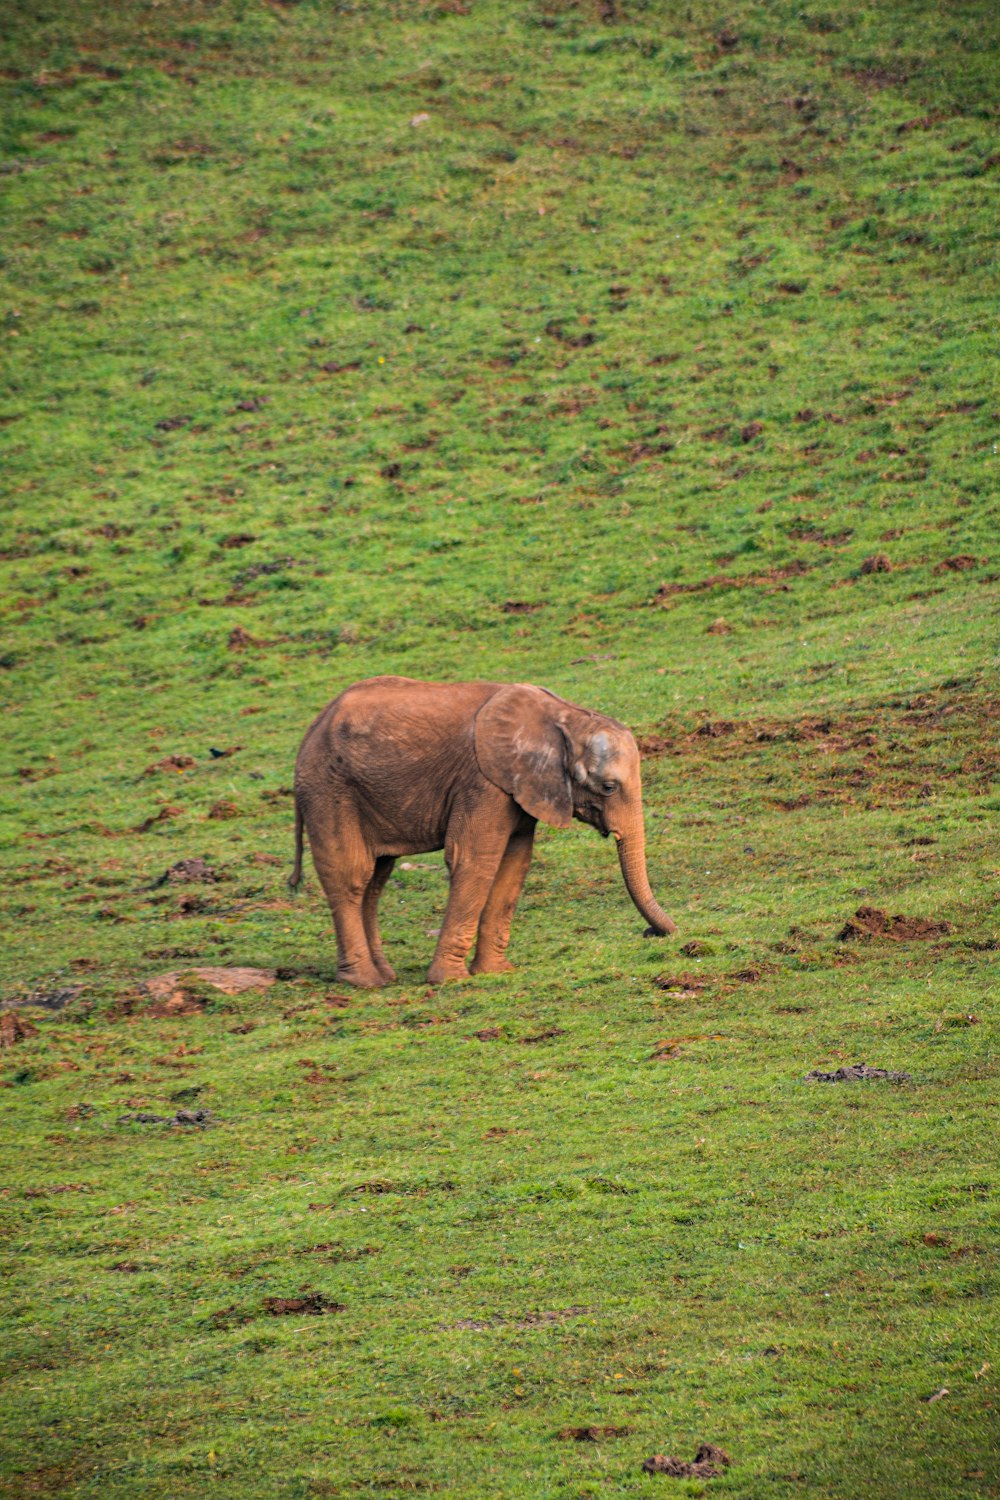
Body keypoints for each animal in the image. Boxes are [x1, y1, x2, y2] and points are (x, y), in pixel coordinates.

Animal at [289, 678, 680, 984]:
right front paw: (450, 980)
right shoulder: (482, 782)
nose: (652, 933)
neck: (565, 717)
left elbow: (514, 863)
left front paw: (496, 972)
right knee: (353, 876)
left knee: (376, 880)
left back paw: (384, 977)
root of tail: (311, 728)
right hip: (328, 789)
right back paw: (363, 981)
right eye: (609, 787)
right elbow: (475, 859)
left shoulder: (520, 787)